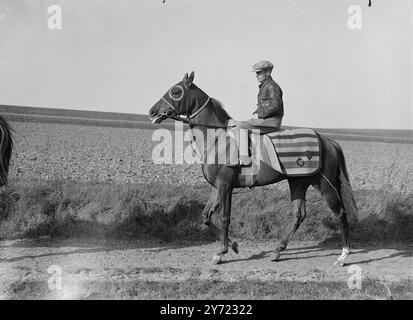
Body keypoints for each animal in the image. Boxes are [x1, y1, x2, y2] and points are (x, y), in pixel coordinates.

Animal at [149, 72, 358, 268]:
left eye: (176, 91)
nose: (152, 111)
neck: (217, 139)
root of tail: (328, 141)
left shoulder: (225, 186)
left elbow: (224, 218)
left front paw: (222, 252)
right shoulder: (217, 187)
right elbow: (205, 217)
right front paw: (233, 246)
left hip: (324, 186)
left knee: (341, 213)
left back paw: (343, 256)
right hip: (298, 183)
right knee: (299, 215)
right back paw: (277, 250)